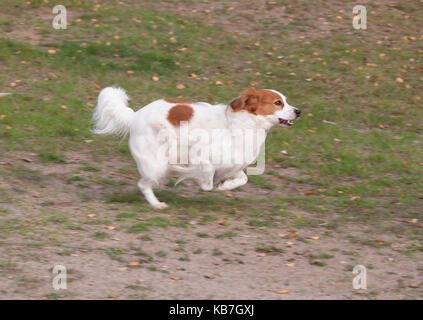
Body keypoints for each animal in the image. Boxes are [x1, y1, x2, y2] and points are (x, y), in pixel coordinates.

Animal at [93, 86, 302, 209]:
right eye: (278, 103)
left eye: (286, 100)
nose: (299, 111)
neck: (243, 123)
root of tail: (135, 115)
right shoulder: (201, 155)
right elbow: (206, 181)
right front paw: (195, 177)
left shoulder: (234, 164)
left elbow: (242, 179)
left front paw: (225, 185)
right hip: (156, 163)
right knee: (143, 184)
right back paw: (157, 203)